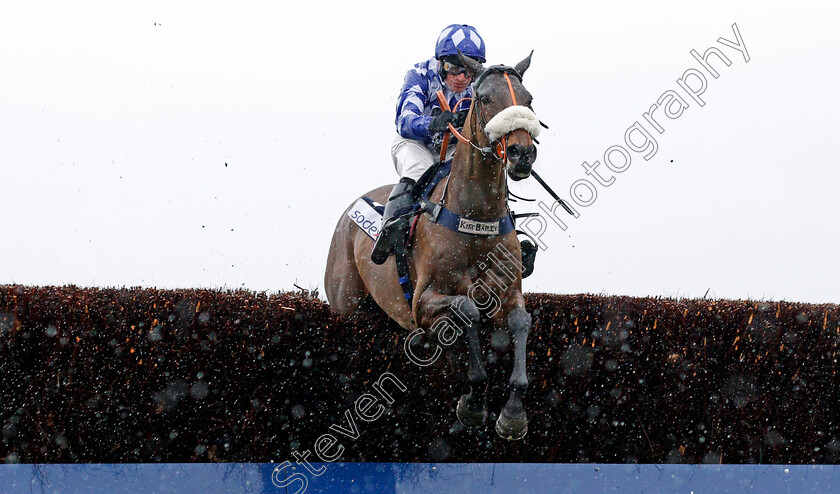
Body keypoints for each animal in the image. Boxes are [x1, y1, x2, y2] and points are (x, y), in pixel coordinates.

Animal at [324, 53, 540, 440]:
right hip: (347, 307)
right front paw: (473, 403)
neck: (475, 217)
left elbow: (520, 321)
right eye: (485, 98)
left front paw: (513, 413)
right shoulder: (423, 302)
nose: (522, 153)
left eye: (529, 100)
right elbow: (467, 310)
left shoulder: (507, 292)